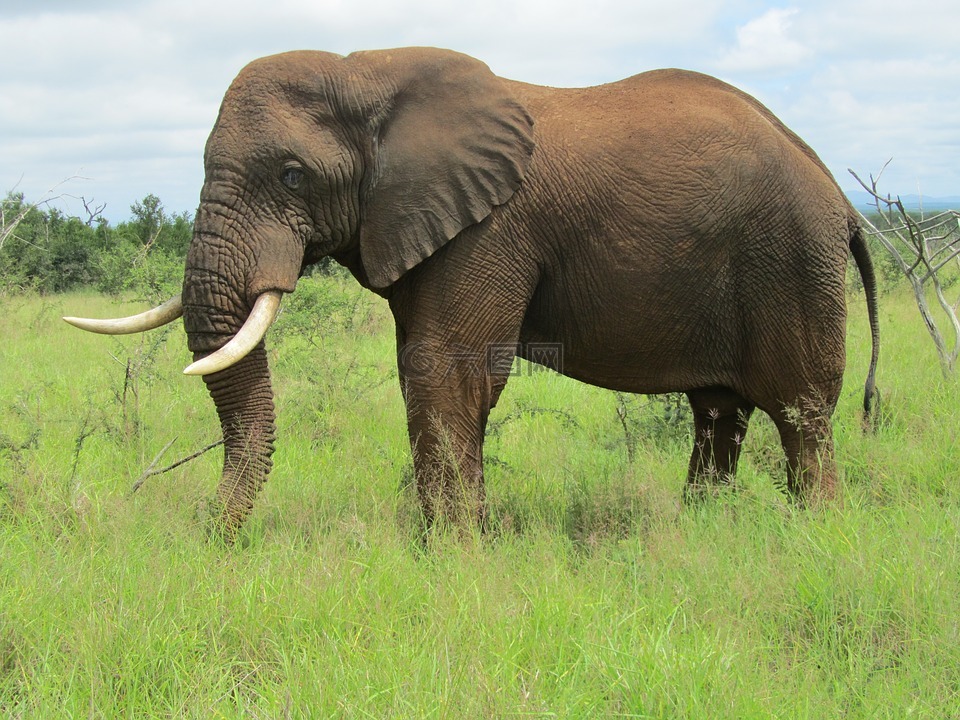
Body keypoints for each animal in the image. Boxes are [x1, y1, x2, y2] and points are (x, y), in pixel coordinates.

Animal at [63, 47, 880, 536]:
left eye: (292, 175)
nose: (214, 539)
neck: (368, 74)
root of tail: (842, 201)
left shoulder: (488, 228)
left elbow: (445, 374)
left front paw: (451, 555)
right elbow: (425, 374)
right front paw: (456, 543)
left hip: (792, 263)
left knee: (802, 415)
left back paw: (817, 538)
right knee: (718, 413)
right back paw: (701, 533)